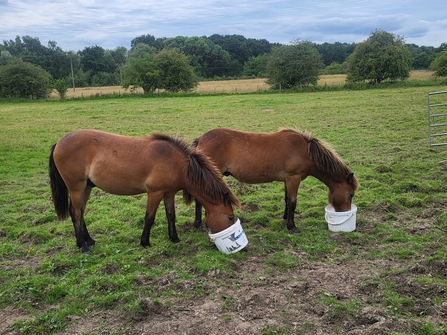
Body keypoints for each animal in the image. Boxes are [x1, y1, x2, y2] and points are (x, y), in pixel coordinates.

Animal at [49, 129, 240, 255]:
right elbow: (149, 218)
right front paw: (145, 243)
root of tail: (59, 142)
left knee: (80, 213)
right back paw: (84, 247)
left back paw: (88, 240)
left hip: (87, 187)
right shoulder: (154, 193)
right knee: (75, 213)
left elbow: (171, 215)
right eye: (230, 218)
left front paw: (174, 238)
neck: (176, 163)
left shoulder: (169, 193)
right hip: (76, 187)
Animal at [194, 127, 358, 235]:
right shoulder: (293, 178)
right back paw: (198, 225)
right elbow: (292, 202)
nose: (345, 213)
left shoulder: (287, 179)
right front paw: (292, 226)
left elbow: (286, 200)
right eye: (350, 194)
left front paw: (285, 218)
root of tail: (200, 139)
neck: (305, 151)